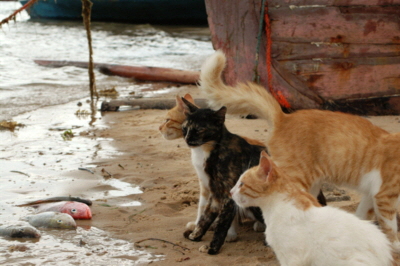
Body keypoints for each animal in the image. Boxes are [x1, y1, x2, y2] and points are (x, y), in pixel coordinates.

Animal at [200, 50, 400, 249]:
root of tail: (284, 117)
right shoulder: (384, 198)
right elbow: (391, 231)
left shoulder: (371, 195)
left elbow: (362, 217)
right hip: (297, 180)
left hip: (313, 185)